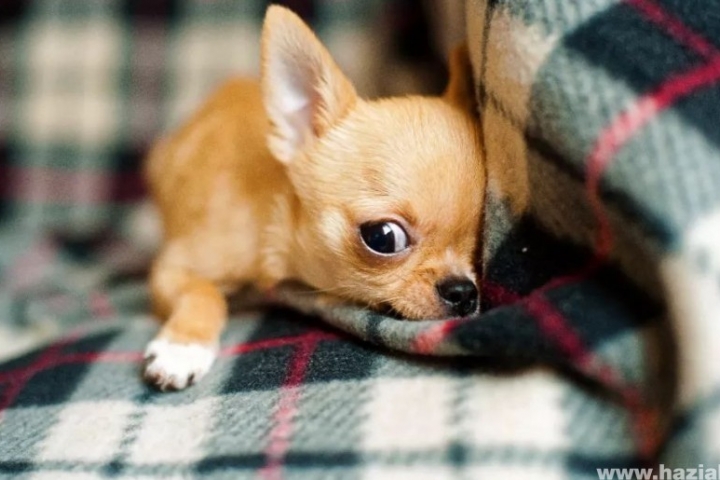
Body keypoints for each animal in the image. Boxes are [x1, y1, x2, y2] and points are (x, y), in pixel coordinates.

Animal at [142, 5, 485, 390]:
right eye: (383, 237)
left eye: (481, 238)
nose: (462, 291)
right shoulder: (171, 269)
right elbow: (204, 292)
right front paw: (183, 347)